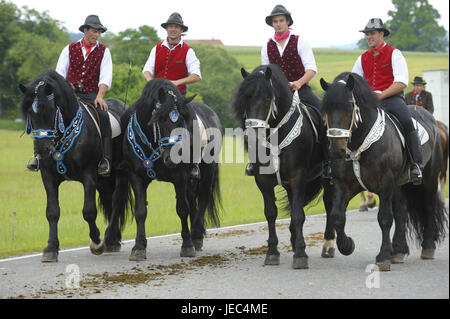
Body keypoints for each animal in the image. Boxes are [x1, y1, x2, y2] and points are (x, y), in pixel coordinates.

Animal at [20, 70, 131, 262]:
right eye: (30, 114)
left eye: (50, 112)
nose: (42, 149)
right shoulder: (48, 177)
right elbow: (52, 212)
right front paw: (50, 249)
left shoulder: (89, 176)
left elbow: (89, 211)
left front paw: (97, 242)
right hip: (103, 181)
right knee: (109, 199)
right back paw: (113, 241)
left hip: (119, 175)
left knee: (116, 201)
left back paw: (109, 238)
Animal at [115, 79, 222, 262]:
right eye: (160, 119)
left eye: (183, 121)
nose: (175, 156)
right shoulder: (136, 176)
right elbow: (140, 211)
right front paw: (139, 247)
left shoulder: (180, 176)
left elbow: (182, 208)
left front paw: (187, 246)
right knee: (193, 201)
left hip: (207, 173)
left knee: (202, 200)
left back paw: (196, 236)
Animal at [234, 65, 326, 270]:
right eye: (244, 100)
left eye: (267, 98)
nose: (251, 137)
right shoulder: (263, 180)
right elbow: (271, 213)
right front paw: (272, 252)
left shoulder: (297, 176)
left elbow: (298, 214)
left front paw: (300, 255)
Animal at [320, 73, 446, 272]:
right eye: (326, 109)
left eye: (349, 106)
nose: (336, 150)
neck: (360, 142)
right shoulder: (343, 185)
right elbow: (337, 216)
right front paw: (347, 245)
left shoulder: (385, 184)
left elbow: (385, 218)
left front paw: (383, 256)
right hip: (400, 185)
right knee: (402, 211)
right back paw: (399, 251)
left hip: (430, 179)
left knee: (428, 207)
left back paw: (427, 248)